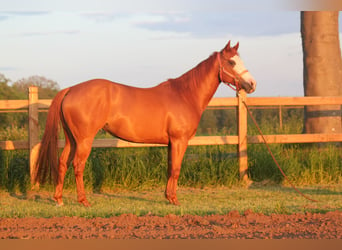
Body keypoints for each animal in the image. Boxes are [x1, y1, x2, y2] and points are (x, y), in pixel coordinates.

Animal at [34, 40, 256, 206]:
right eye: (232, 62)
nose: (252, 84)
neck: (185, 94)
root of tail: (71, 89)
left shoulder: (171, 143)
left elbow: (170, 168)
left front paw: (168, 197)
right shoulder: (180, 140)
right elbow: (176, 169)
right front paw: (174, 200)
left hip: (72, 139)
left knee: (63, 163)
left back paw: (59, 199)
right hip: (84, 140)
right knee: (78, 165)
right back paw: (84, 201)